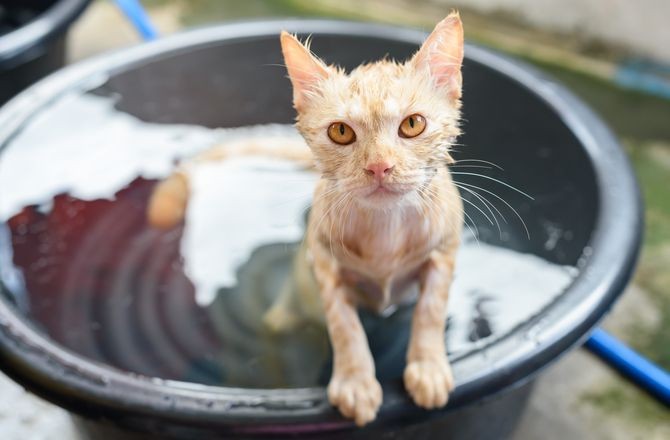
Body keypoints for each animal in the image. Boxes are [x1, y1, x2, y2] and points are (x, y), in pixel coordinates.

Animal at [148, 12, 464, 426]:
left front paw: (427, 367)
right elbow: (344, 325)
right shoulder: (323, 262)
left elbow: (430, 310)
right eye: (341, 131)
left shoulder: (443, 252)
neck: (387, 230)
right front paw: (355, 381)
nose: (379, 167)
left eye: (413, 125)